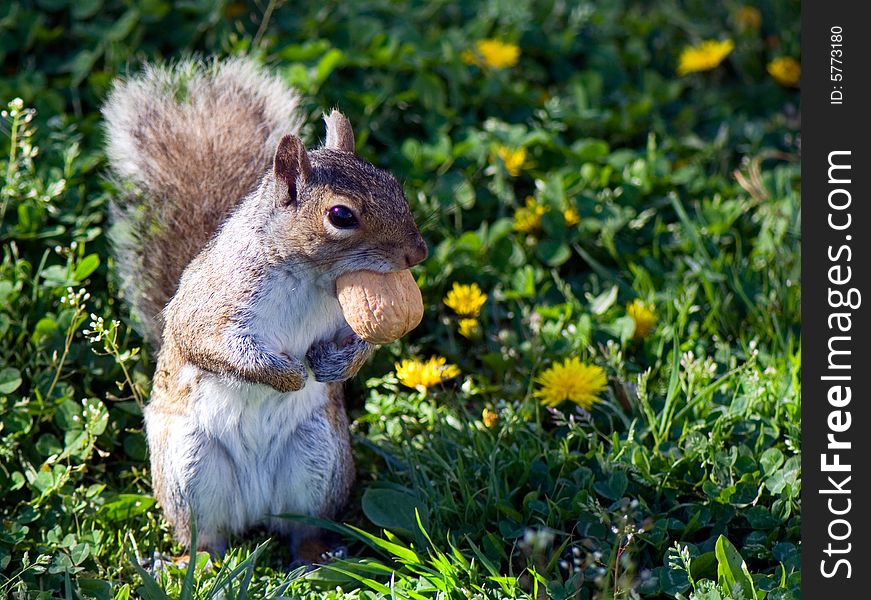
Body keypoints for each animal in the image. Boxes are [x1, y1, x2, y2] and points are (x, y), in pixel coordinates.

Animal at [102, 58, 430, 556]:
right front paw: (285, 375)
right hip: (189, 467)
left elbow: (362, 341)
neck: (311, 278)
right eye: (341, 216)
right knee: (204, 536)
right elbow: (206, 342)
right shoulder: (213, 304)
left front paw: (337, 365)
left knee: (304, 528)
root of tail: (255, 511)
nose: (419, 252)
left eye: (393, 184)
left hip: (318, 459)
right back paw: (196, 563)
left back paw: (315, 558)